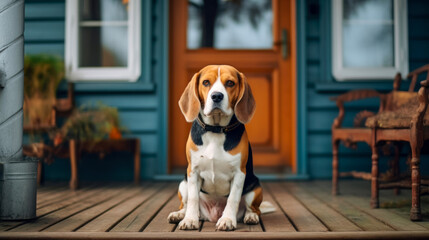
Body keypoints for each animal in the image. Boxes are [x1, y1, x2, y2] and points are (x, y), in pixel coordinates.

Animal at [167, 65, 270, 231]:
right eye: (206, 82)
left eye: (230, 83)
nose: (216, 96)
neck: (215, 130)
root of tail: (211, 215)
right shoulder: (193, 172)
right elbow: (194, 199)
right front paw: (189, 220)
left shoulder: (239, 173)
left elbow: (233, 199)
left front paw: (227, 220)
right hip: (183, 184)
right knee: (186, 204)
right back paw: (180, 214)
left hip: (255, 188)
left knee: (254, 209)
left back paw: (251, 216)